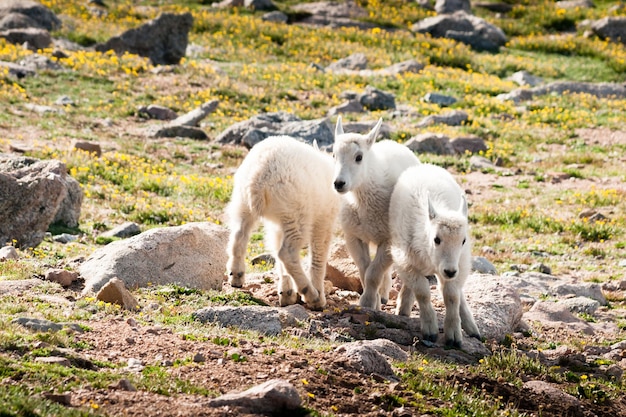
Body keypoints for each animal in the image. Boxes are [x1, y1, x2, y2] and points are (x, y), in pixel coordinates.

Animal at [227, 135, 338, 308]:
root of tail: (258, 176)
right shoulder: (324, 218)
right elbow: (319, 253)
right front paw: (318, 298)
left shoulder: (278, 223)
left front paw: (286, 294)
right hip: (296, 212)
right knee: (287, 253)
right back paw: (310, 293)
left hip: (244, 202)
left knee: (239, 236)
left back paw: (236, 276)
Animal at [332, 116, 420, 308]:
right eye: (333, 155)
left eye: (359, 157)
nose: (339, 183)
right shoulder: (354, 236)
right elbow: (365, 270)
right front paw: (374, 303)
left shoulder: (389, 240)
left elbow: (373, 273)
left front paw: (367, 302)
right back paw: (384, 294)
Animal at [388, 162, 480, 348]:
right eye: (436, 239)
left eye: (463, 240)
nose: (450, 271)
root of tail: (424, 166)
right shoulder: (405, 261)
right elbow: (423, 292)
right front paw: (430, 329)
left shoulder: (460, 264)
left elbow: (452, 296)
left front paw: (454, 334)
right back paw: (403, 308)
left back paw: (471, 326)